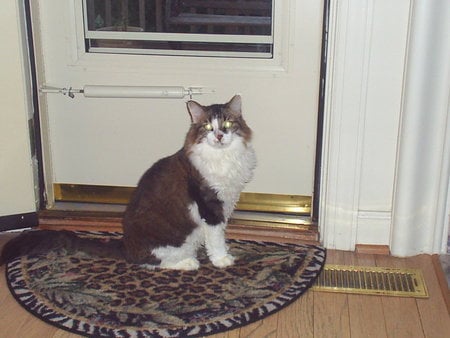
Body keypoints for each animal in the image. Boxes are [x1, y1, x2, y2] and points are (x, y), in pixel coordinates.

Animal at [0, 95, 256, 272]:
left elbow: (221, 233)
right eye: (208, 127)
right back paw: (188, 263)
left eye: (227, 125)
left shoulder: (226, 202)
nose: (219, 136)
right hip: (167, 242)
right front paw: (222, 259)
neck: (224, 158)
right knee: (149, 261)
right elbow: (216, 238)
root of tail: (125, 244)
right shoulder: (209, 206)